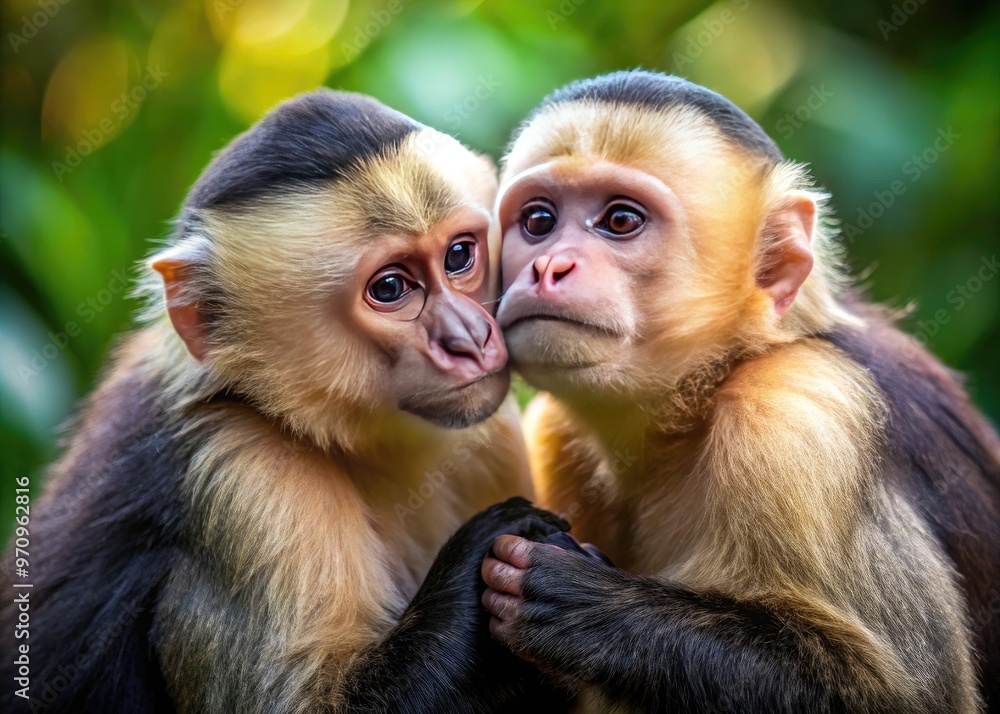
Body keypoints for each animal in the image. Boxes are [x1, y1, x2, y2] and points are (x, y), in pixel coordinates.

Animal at [480, 71, 1000, 713]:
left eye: (620, 221)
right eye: (538, 222)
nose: (549, 266)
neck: (705, 390)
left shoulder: (794, 412)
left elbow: (906, 697)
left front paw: (572, 605)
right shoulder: (557, 432)